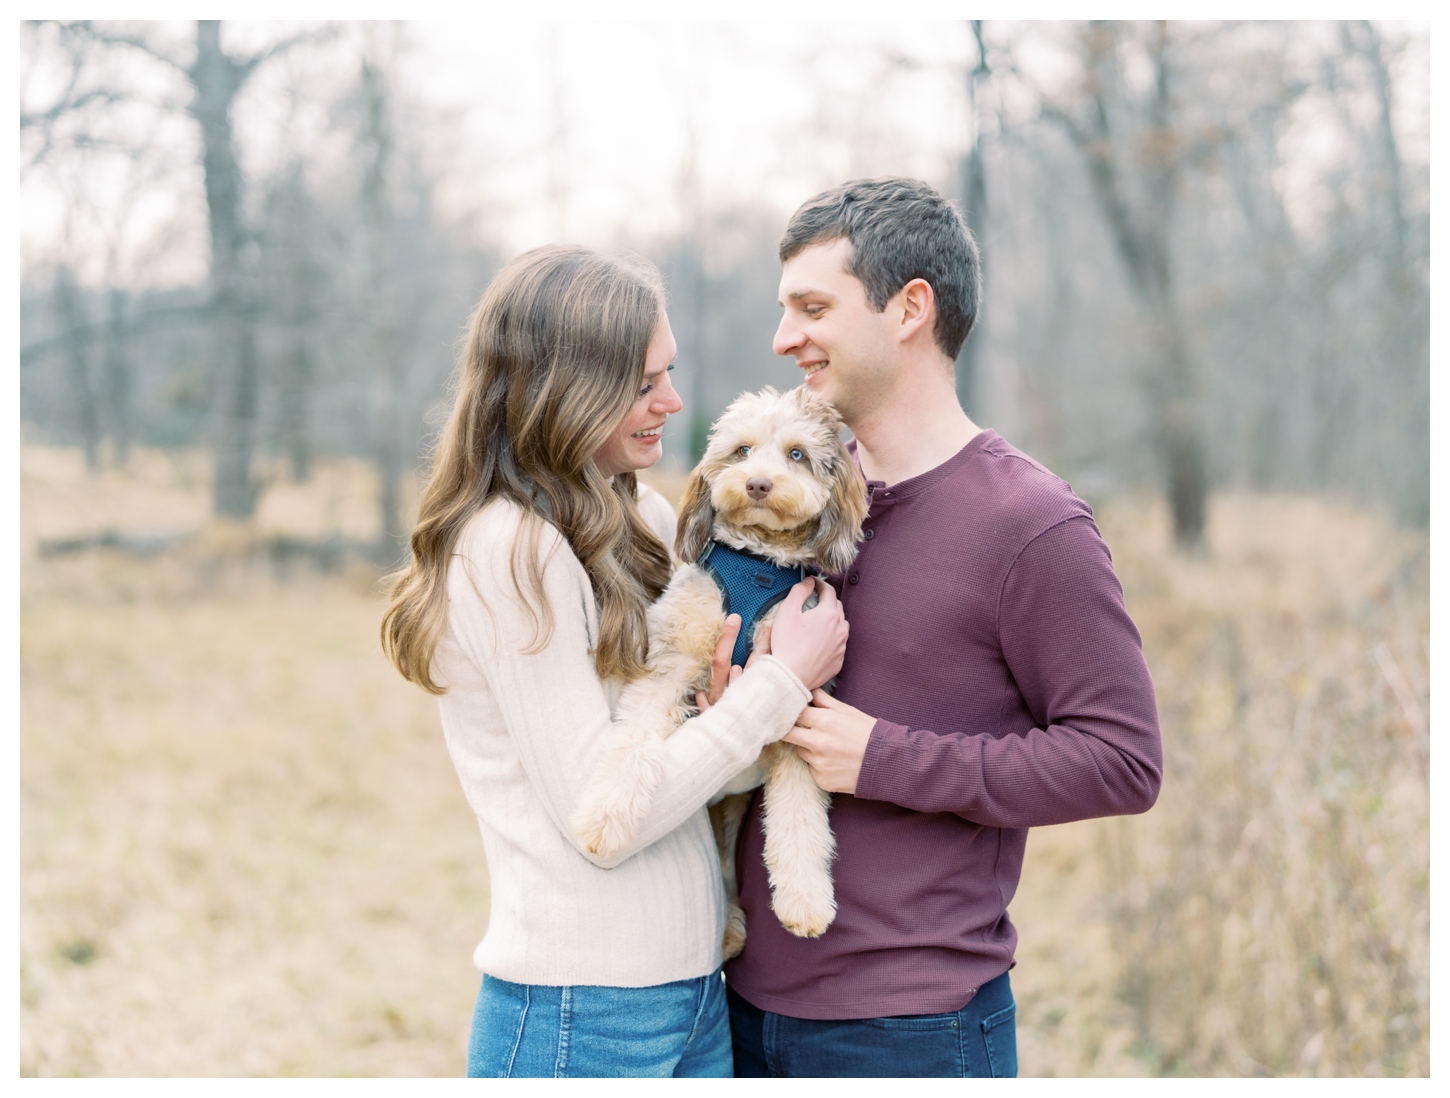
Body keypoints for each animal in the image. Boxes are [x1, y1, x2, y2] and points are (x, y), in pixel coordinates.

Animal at [571, 382, 864, 951]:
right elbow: (632, 744)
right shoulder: (671, 665)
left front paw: (806, 902)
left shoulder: (800, 713)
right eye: (742, 450)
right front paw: (603, 820)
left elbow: (801, 818)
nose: (757, 484)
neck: (756, 565)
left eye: (797, 454)